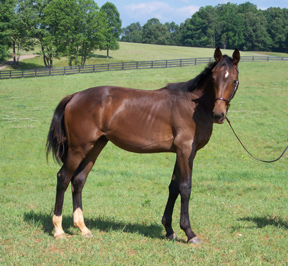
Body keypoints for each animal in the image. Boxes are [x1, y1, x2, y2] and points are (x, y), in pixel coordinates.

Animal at [47, 47, 241, 243]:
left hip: (95, 147)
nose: (218, 114)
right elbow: (185, 188)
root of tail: (74, 96)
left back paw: (83, 227)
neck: (193, 104)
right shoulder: (186, 151)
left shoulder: (181, 153)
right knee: (63, 178)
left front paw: (169, 230)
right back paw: (58, 230)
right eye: (213, 78)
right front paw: (189, 232)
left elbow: (174, 188)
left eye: (234, 80)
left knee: (78, 181)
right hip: (78, 149)